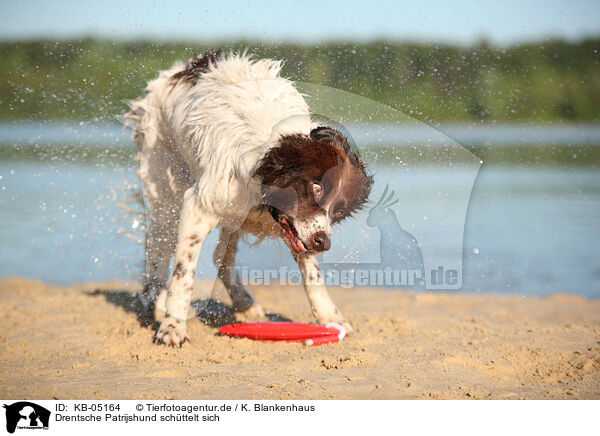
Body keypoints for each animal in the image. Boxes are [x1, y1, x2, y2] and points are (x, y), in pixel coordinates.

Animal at [125, 51, 372, 346]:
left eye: (339, 211)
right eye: (316, 188)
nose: (323, 242)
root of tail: (175, 71)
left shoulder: (295, 227)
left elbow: (312, 273)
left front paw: (331, 318)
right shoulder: (199, 207)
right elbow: (183, 272)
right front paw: (173, 326)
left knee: (220, 258)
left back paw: (245, 303)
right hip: (165, 186)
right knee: (157, 250)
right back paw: (157, 301)